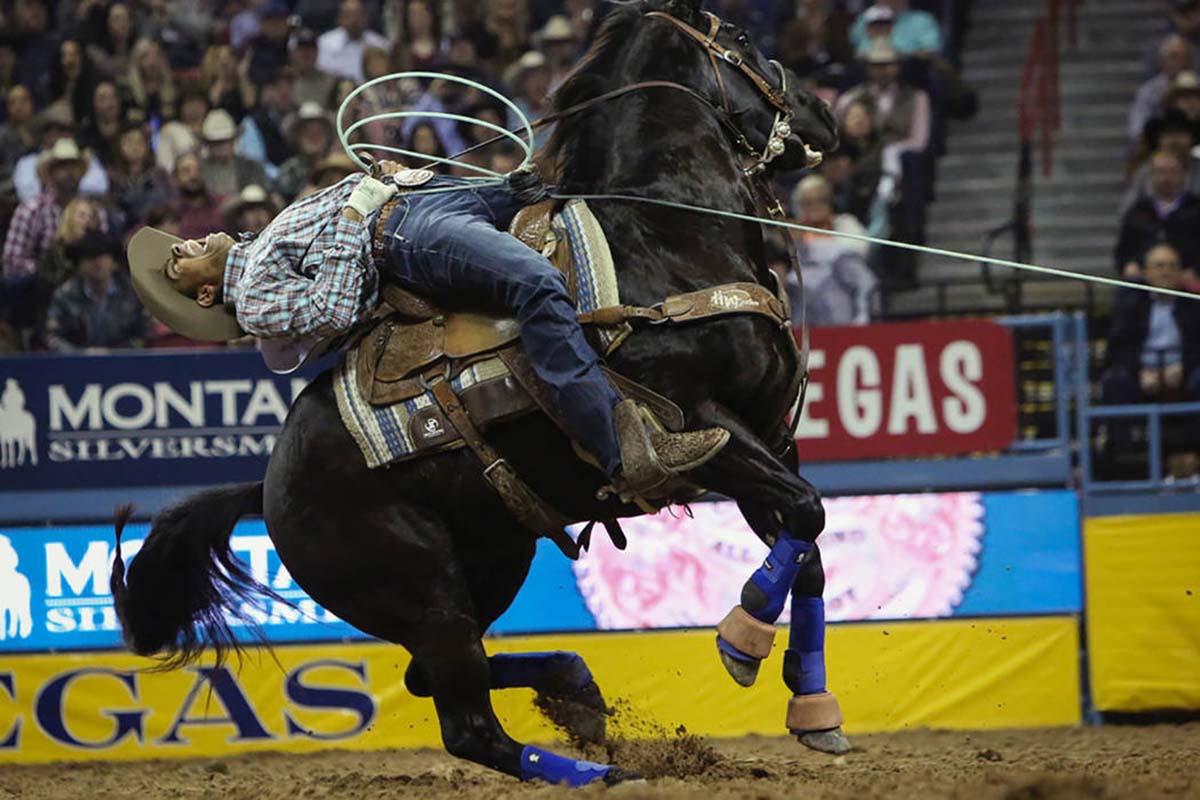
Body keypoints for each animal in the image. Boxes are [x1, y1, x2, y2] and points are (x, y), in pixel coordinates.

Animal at [112, 0, 844, 786]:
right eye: (738, 39)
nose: (825, 115)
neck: (662, 237)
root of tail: (268, 487)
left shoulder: (769, 435)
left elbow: (807, 542)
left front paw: (812, 707)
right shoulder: (705, 426)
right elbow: (806, 514)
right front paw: (742, 637)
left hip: (495, 557)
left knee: (427, 679)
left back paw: (574, 690)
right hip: (421, 585)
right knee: (466, 723)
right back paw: (603, 769)